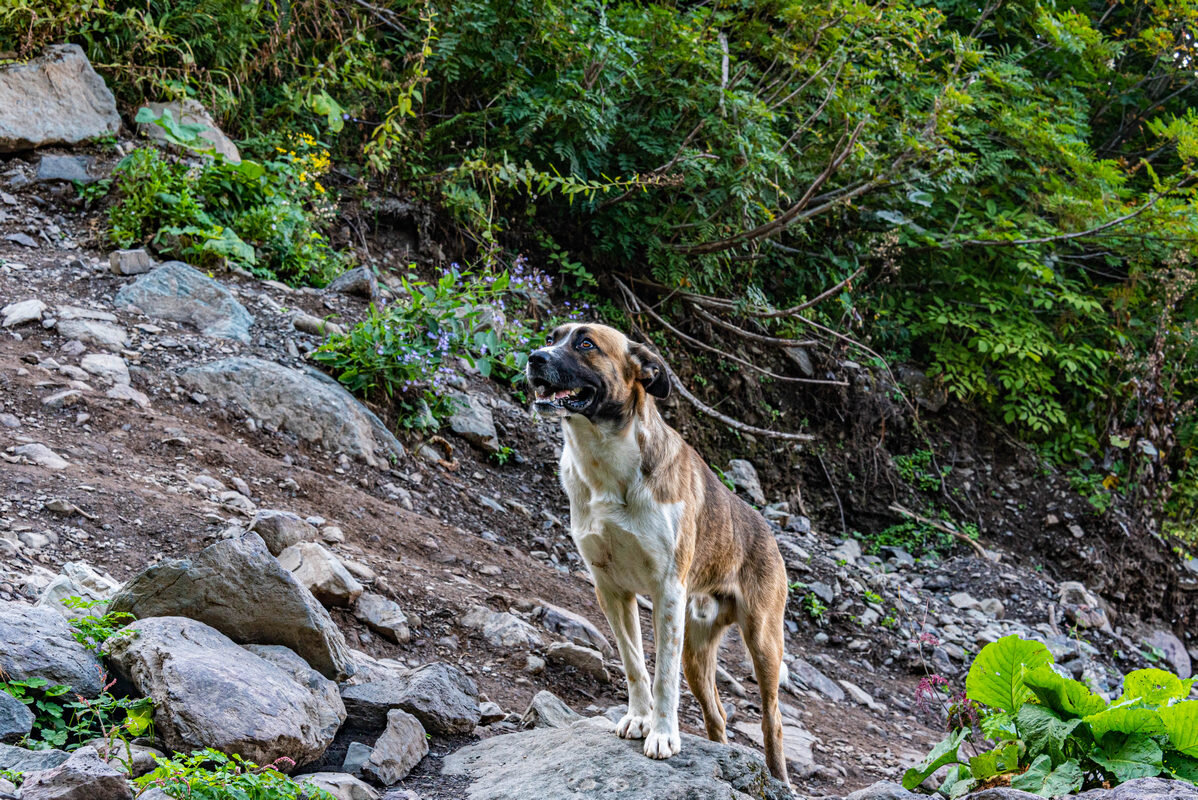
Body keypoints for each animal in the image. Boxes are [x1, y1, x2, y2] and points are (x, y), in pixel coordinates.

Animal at [527, 320, 790, 785]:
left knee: (771, 719)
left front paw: (663, 735)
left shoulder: (667, 591)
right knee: (717, 713)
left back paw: (777, 777)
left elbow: (663, 676)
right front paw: (639, 719)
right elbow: (634, 663)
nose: (533, 357)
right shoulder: (610, 589)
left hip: (762, 640)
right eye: (550, 337)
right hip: (696, 652)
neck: (605, 462)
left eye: (586, 343)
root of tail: (767, 531)